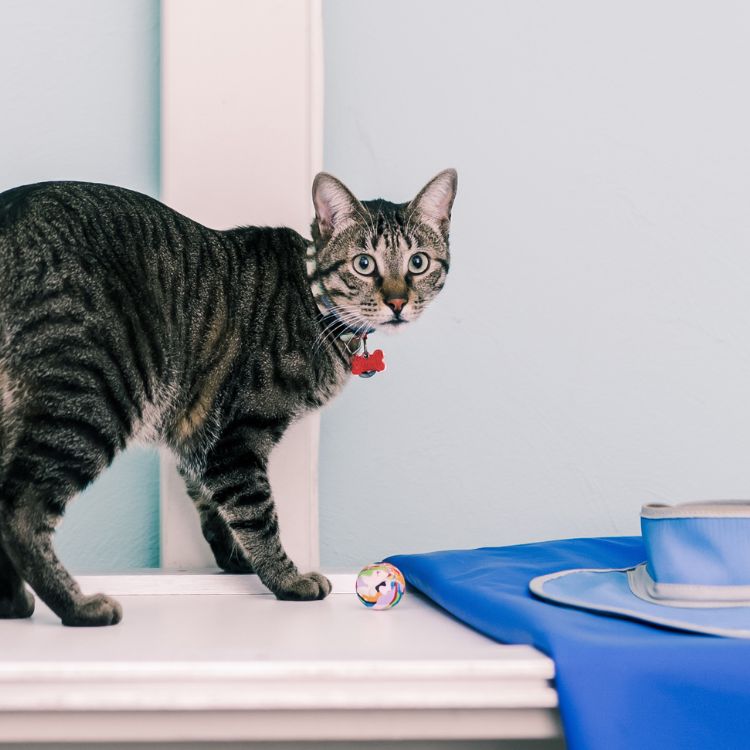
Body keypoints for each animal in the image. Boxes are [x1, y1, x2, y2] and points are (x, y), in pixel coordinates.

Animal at [0, 169, 458, 624]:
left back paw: (12, 602)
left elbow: (213, 503)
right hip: (95, 394)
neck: (314, 302)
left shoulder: (195, 433)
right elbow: (256, 511)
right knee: (19, 512)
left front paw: (235, 557)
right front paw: (285, 578)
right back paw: (76, 606)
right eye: (364, 264)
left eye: (418, 262)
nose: (397, 301)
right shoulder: (237, 436)